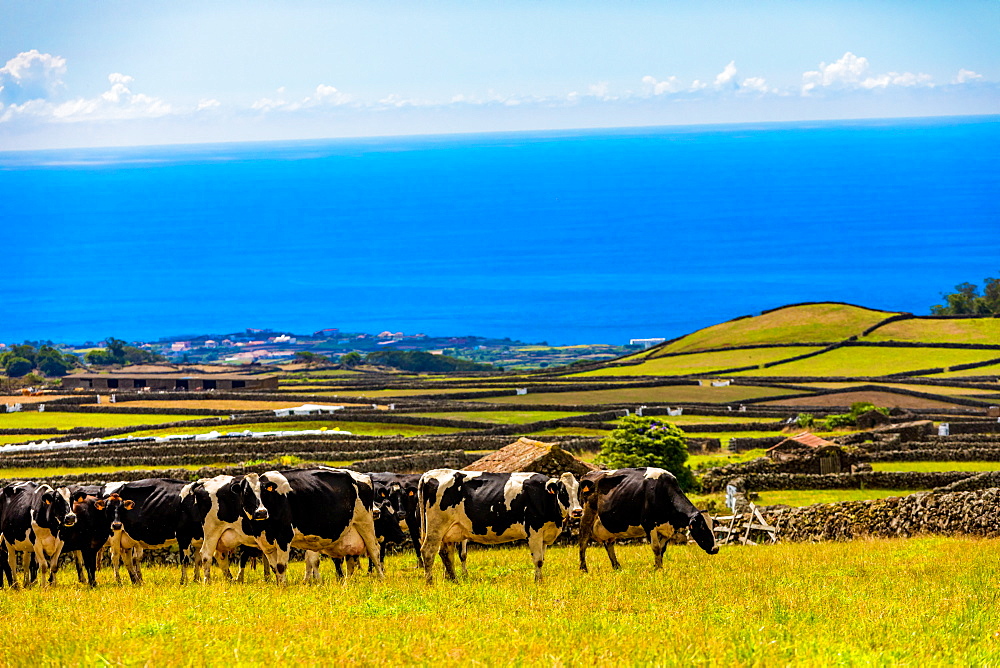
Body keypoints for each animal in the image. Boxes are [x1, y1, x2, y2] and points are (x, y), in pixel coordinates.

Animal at [252, 468, 384, 580]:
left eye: (263, 493)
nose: (261, 512)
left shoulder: (285, 536)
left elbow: (286, 565)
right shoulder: (265, 542)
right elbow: (276, 567)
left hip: (364, 523)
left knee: (374, 550)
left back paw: (381, 579)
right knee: (350, 560)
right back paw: (346, 583)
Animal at [416, 468, 584, 580]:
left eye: (579, 491)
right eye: (563, 491)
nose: (577, 511)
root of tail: (429, 474)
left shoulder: (544, 534)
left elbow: (542, 559)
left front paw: (540, 580)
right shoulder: (534, 531)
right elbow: (538, 559)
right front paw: (538, 582)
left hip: (449, 531)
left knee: (446, 554)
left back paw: (453, 580)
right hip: (435, 528)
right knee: (428, 551)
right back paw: (429, 582)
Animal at [580, 468, 720, 572]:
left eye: (713, 527)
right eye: (702, 527)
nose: (715, 549)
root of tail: (589, 474)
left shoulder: (668, 530)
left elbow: (662, 549)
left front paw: (659, 566)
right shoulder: (649, 524)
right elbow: (656, 548)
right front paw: (657, 569)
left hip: (610, 525)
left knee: (609, 544)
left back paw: (617, 567)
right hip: (587, 514)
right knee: (583, 541)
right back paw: (583, 569)